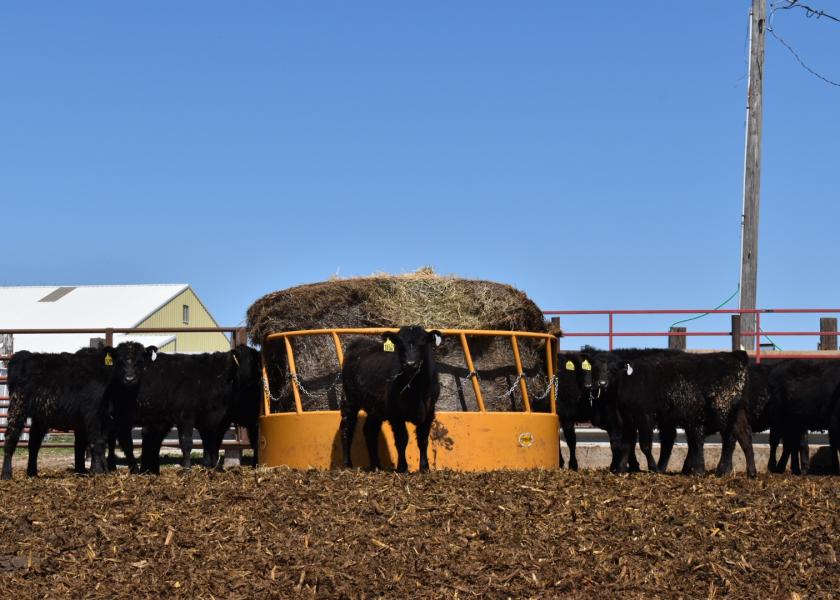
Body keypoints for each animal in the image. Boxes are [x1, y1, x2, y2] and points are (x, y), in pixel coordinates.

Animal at [2, 342, 153, 478]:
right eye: (120, 362)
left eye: (140, 362)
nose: (130, 379)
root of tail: (23, 355)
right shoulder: (93, 415)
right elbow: (96, 442)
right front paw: (99, 472)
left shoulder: (107, 419)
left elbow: (101, 442)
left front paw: (98, 470)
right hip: (17, 407)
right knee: (10, 438)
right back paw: (6, 474)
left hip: (40, 416)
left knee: (34, 442)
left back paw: (32, 473)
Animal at [110, 344, 262, 476]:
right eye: (251, 363)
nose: (260, 380)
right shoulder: (185, 416)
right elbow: (187, 443)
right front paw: (187, 470)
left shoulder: (210, 420)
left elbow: (209, 444)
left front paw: (208, 467)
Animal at [342, 326, 446, 472]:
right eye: (400, 345)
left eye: (423, 343)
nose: (410, 364)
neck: (415, 390)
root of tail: (360, 343)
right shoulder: (395, 414)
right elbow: (402, 439)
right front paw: (402, 467)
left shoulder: (429, 411)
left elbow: (423, 439)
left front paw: (424, 467)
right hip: (350, 400)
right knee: (347, 429)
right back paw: (347, 464)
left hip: (376, 408)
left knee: (370, 431)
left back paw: (376, 465)